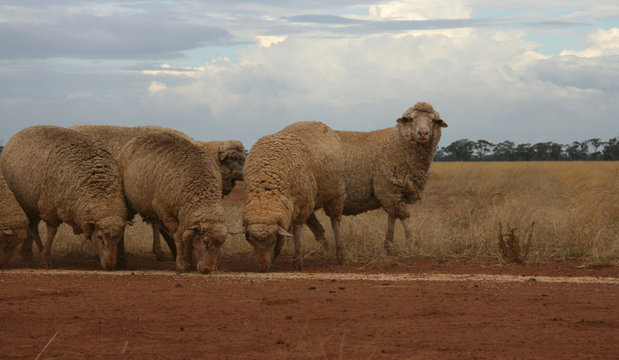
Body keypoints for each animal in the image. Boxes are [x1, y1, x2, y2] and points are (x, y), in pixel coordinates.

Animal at [0, 125, 128, 268]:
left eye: (118, 239)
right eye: (100, 237)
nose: (110, 266)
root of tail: (17, 134)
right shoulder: (49, 207)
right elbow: (51, 232)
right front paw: (45, 259)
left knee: (32, 227)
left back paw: (27, 253)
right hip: (27, 203)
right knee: (33, 229)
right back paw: (34, 252)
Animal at [117, 132, 226, 272]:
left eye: (220, 247)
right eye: (205, 242)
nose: (208, 269)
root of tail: (135, 139)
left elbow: (186, 238)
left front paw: (188, 262)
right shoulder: (165, 211)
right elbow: (179, 237)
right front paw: (182, 264)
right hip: (129, 202)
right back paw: (121, 260)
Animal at [243, 121, 348, 270]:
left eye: (273, 240)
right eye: (250, 241)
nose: (262, 268)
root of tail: (318, 122)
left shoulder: (302, 208)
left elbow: (297, 232)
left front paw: (298, 260)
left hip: (335, 194)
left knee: (335, 223)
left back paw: (340, 255)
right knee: (318, 226)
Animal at [308, 101, 448, 253]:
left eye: (433, 120)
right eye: (411, 119)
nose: (423, 133)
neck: (398, 143)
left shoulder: (394, 191)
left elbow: (392, 217)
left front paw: (388, 245)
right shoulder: (388, 187)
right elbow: (404, 217)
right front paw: (412, 244)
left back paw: (324, 244)